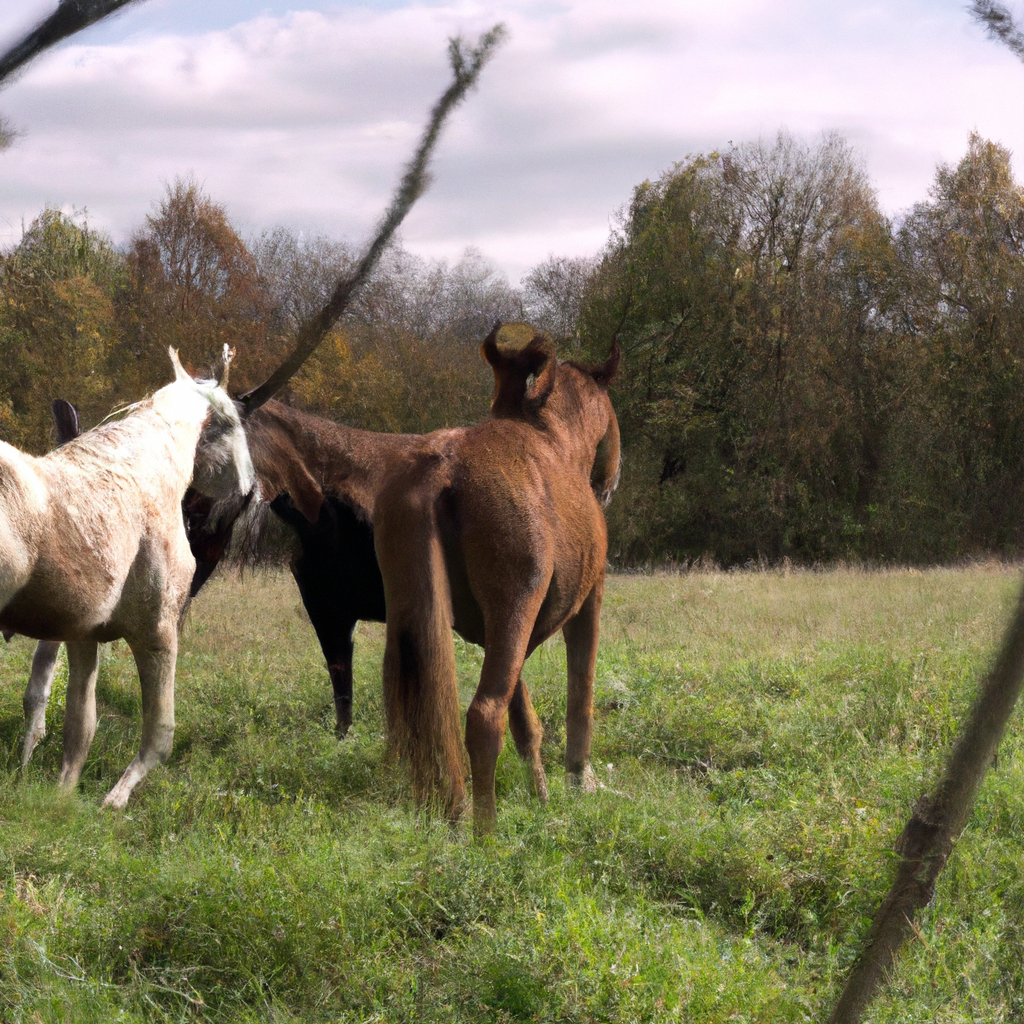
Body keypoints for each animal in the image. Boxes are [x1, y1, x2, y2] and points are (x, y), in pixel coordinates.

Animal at [9, 348, 256, 802]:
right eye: (233, 422)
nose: (250, 488)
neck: (142, 471)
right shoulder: (156, 632)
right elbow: (159, 734)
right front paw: (114, 801)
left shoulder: (82, 634)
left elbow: (78, 728)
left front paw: (59, 795)